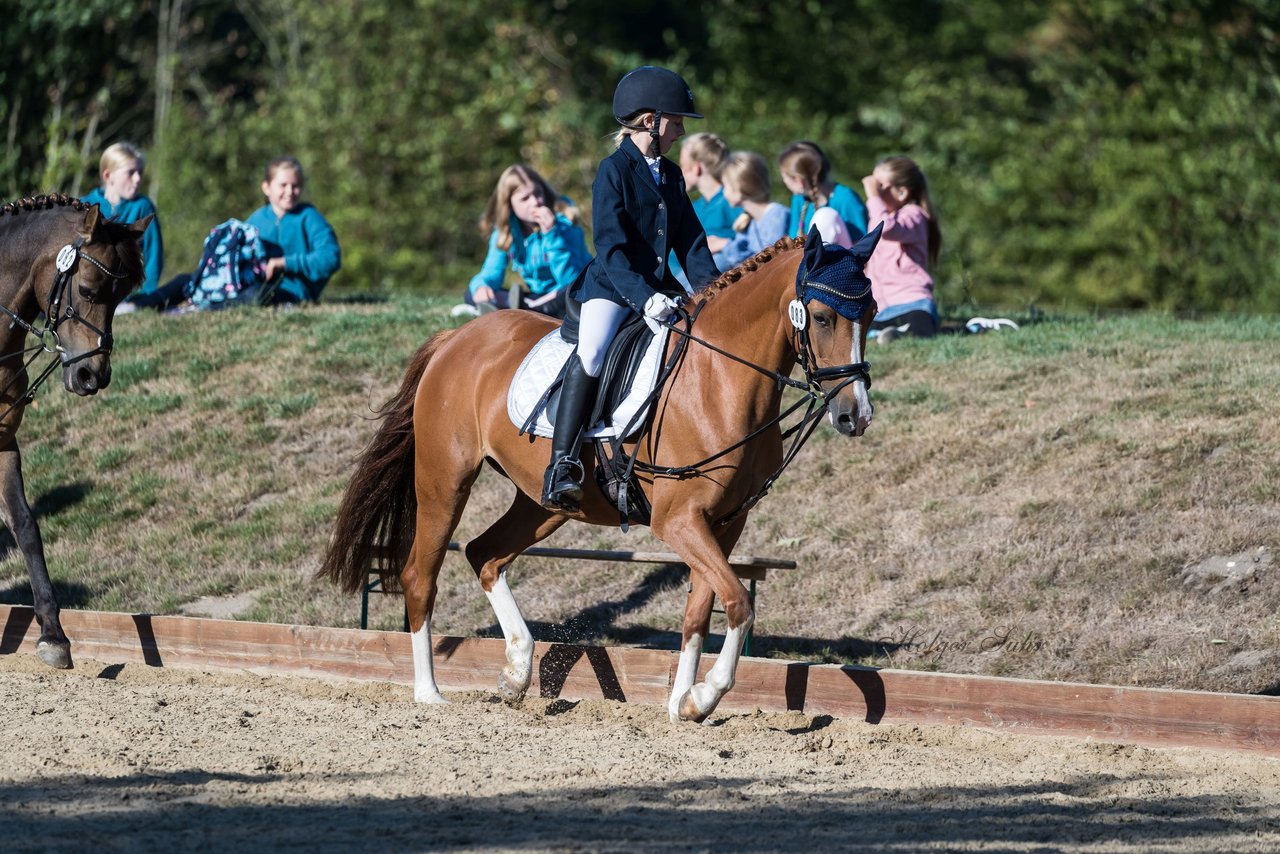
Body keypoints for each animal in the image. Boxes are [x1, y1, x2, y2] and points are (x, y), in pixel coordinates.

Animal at [0, 195, 149, 665]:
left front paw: (53, 635)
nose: (91, 376)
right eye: (86, 290)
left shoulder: (3, 441)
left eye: (121, 299)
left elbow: (26, 526)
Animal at [320, 226, 880, 722]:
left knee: (485, 554)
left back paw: (516, 672)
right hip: (445, 481)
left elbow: (701, 610)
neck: (721, 380)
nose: (855, 415)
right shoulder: (678, 520)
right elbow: (739, 602)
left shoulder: (723, 523)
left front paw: (680, 703)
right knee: (421, 573)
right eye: (823, 317)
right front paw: (702, 699)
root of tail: (456, 338)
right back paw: (429, 694)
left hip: (543, 504)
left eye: (872, 313)